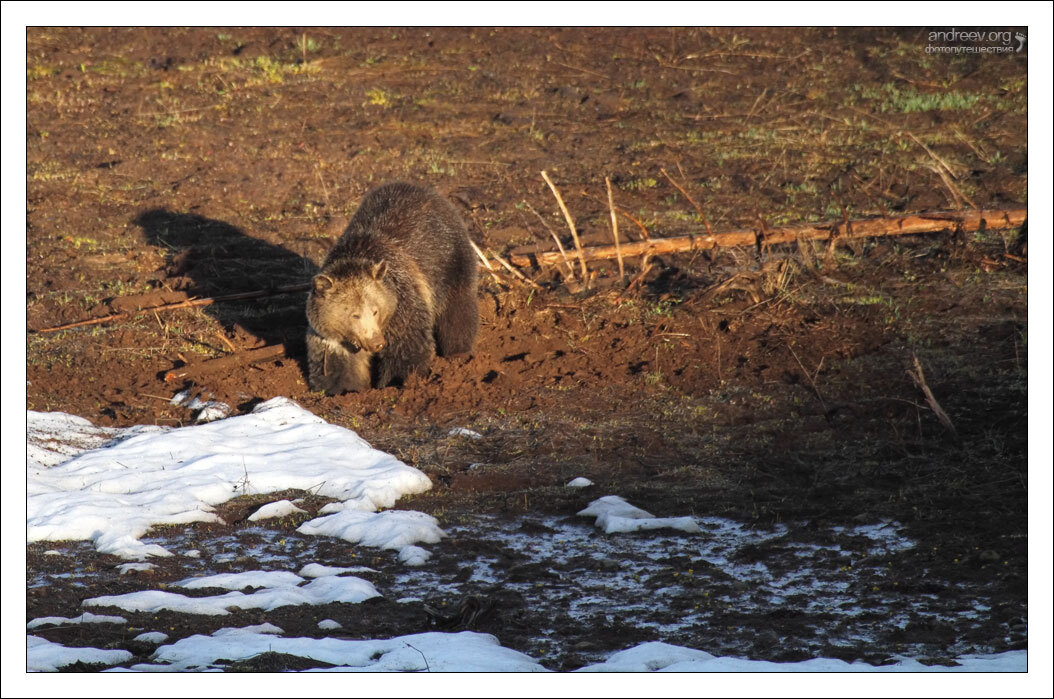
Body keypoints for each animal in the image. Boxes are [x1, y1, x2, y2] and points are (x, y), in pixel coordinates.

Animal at [305, 181, 478, 394]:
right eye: (354, 314)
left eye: (375, 310)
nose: (376, 342)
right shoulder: (332, 337)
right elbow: (336, 367)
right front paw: (342, 389)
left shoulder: (401, 305)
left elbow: (407, 349)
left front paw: (396, 381)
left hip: (448, 261)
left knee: (458, 312)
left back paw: (458, 353)